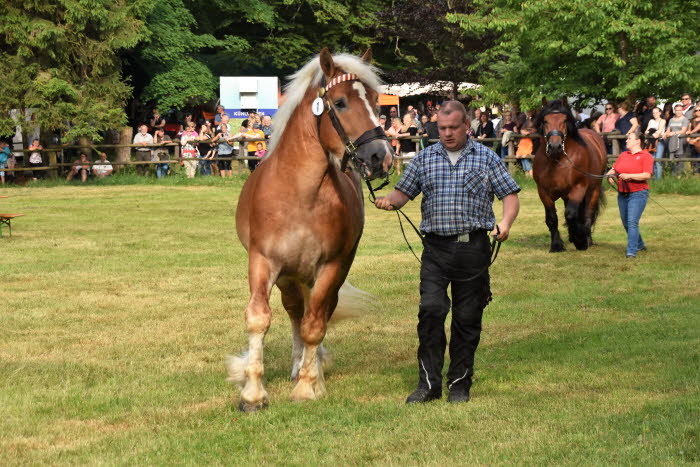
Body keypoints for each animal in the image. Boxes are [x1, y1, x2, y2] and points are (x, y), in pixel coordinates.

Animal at [230, 49, 394, 412]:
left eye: (377, 101)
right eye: (340, 102)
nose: (381, 157)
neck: (300, 194)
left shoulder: (332, 266)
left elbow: (315, 326)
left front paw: (307, 386)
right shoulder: (263, 263)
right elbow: (259, 318)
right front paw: (252, 394)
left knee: (317, 314)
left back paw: (310, 369)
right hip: (290, 277)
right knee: (295, 311)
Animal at [536, 99, 608, 252]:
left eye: (564, 120)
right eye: (545, 121)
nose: (555, 147)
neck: (557, 161)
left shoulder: (578, 188)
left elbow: (571, 214)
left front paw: (580, 240)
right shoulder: (543, 192)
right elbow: (552, 218)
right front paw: (556, 245)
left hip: (593, 190)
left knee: (588, 213)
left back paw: (587, 238)